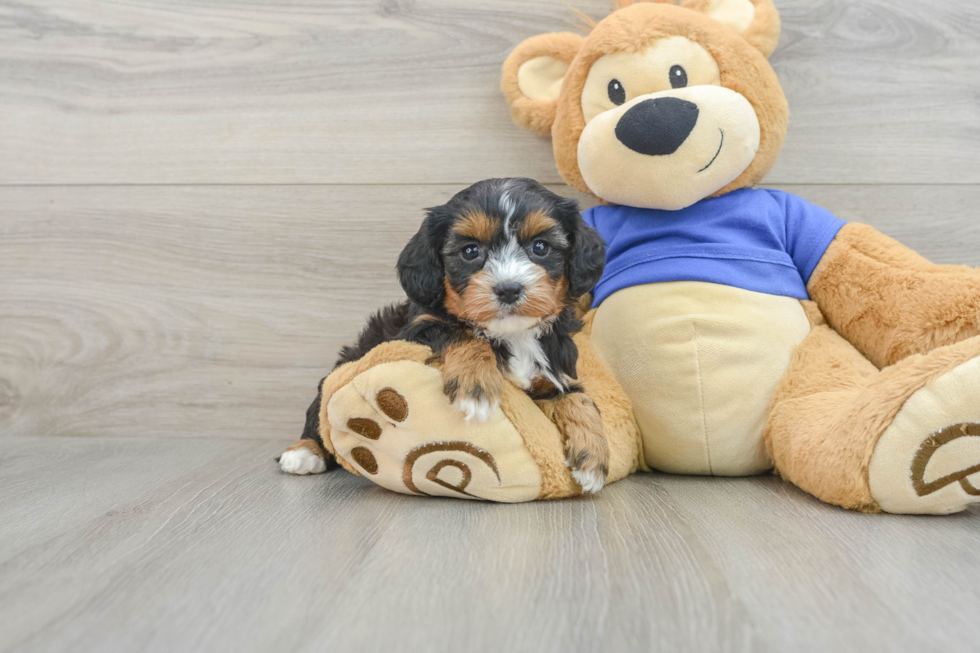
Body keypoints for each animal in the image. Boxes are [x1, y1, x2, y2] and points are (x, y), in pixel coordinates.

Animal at [276, 176, 608, 492]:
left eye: (540, 247)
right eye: (470, 251)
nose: (509, 289)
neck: (512, 335)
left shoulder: (555, 371)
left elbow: (579, 398)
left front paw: (593, 458)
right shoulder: (419, 327)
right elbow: (463, 334)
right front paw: (476, 386)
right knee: (318, 412)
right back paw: (303, 452)